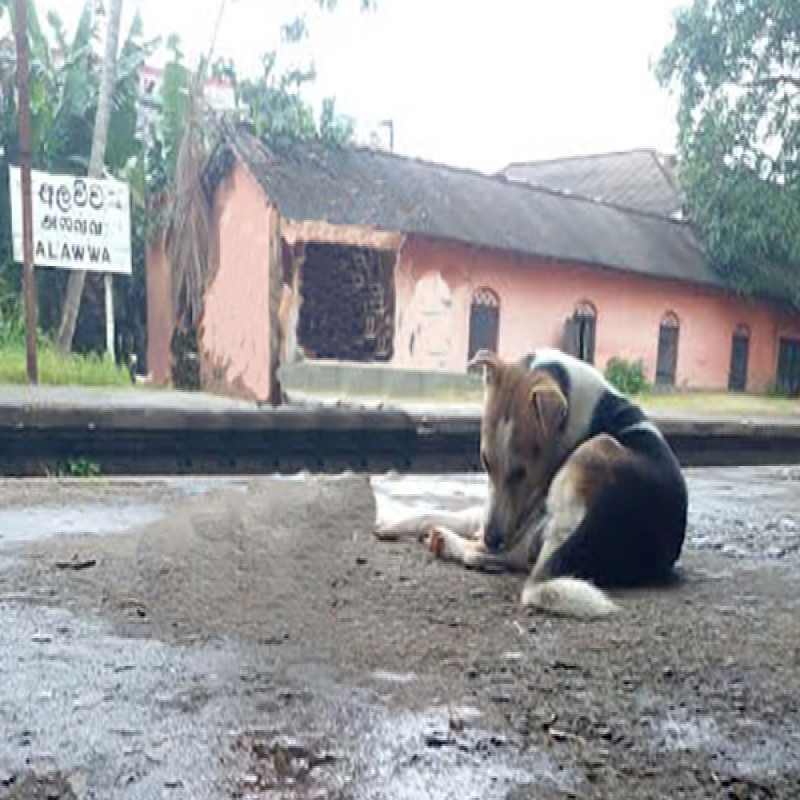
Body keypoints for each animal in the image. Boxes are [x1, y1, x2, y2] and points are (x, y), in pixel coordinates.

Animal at [376, 346, 688, 620]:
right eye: (485, 461)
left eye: (521, 472)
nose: (492, 538)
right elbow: (446, 514)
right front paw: (392, 523)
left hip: (593, 454)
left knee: (516, 562)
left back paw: (451, 543)